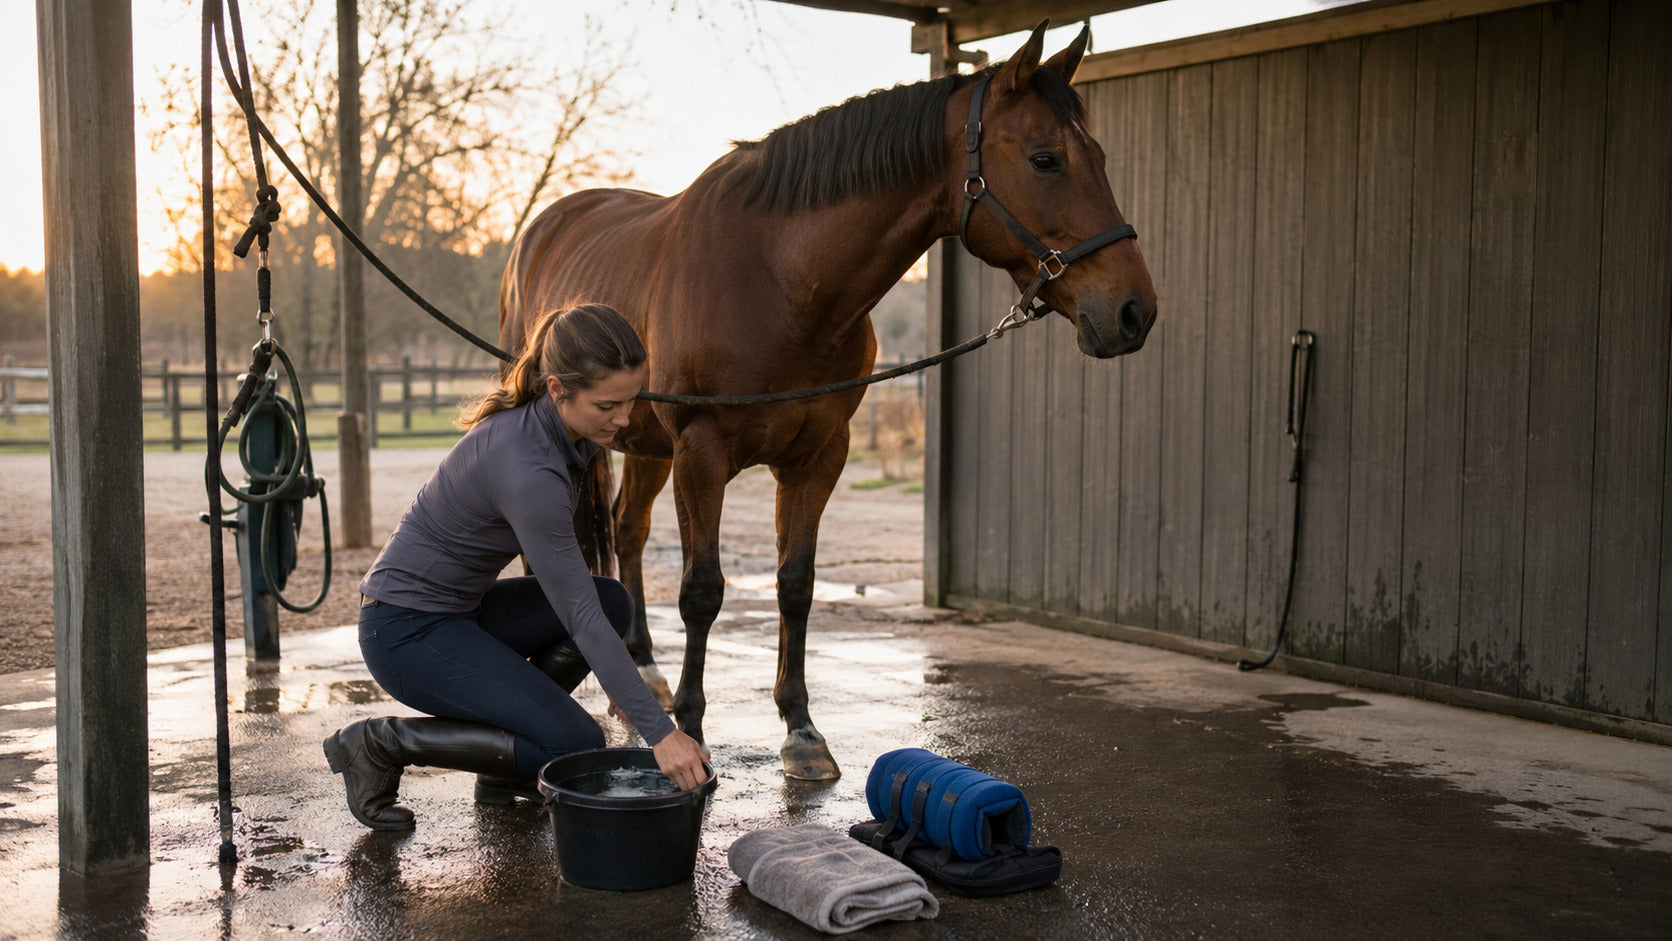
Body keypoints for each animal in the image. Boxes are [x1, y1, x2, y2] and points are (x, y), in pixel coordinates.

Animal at [498, 21, 1157, 780]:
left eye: (1097, 155)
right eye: (1046, 159)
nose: (1135, 311)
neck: (778, 279)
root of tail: (541, 229)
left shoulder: (818, 454)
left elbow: (796, 583)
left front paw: (802, 730)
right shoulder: (703, 452)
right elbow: (702, 590)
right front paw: (691, 728)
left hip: (646, 445)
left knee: (628, 528)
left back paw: (642, 664)